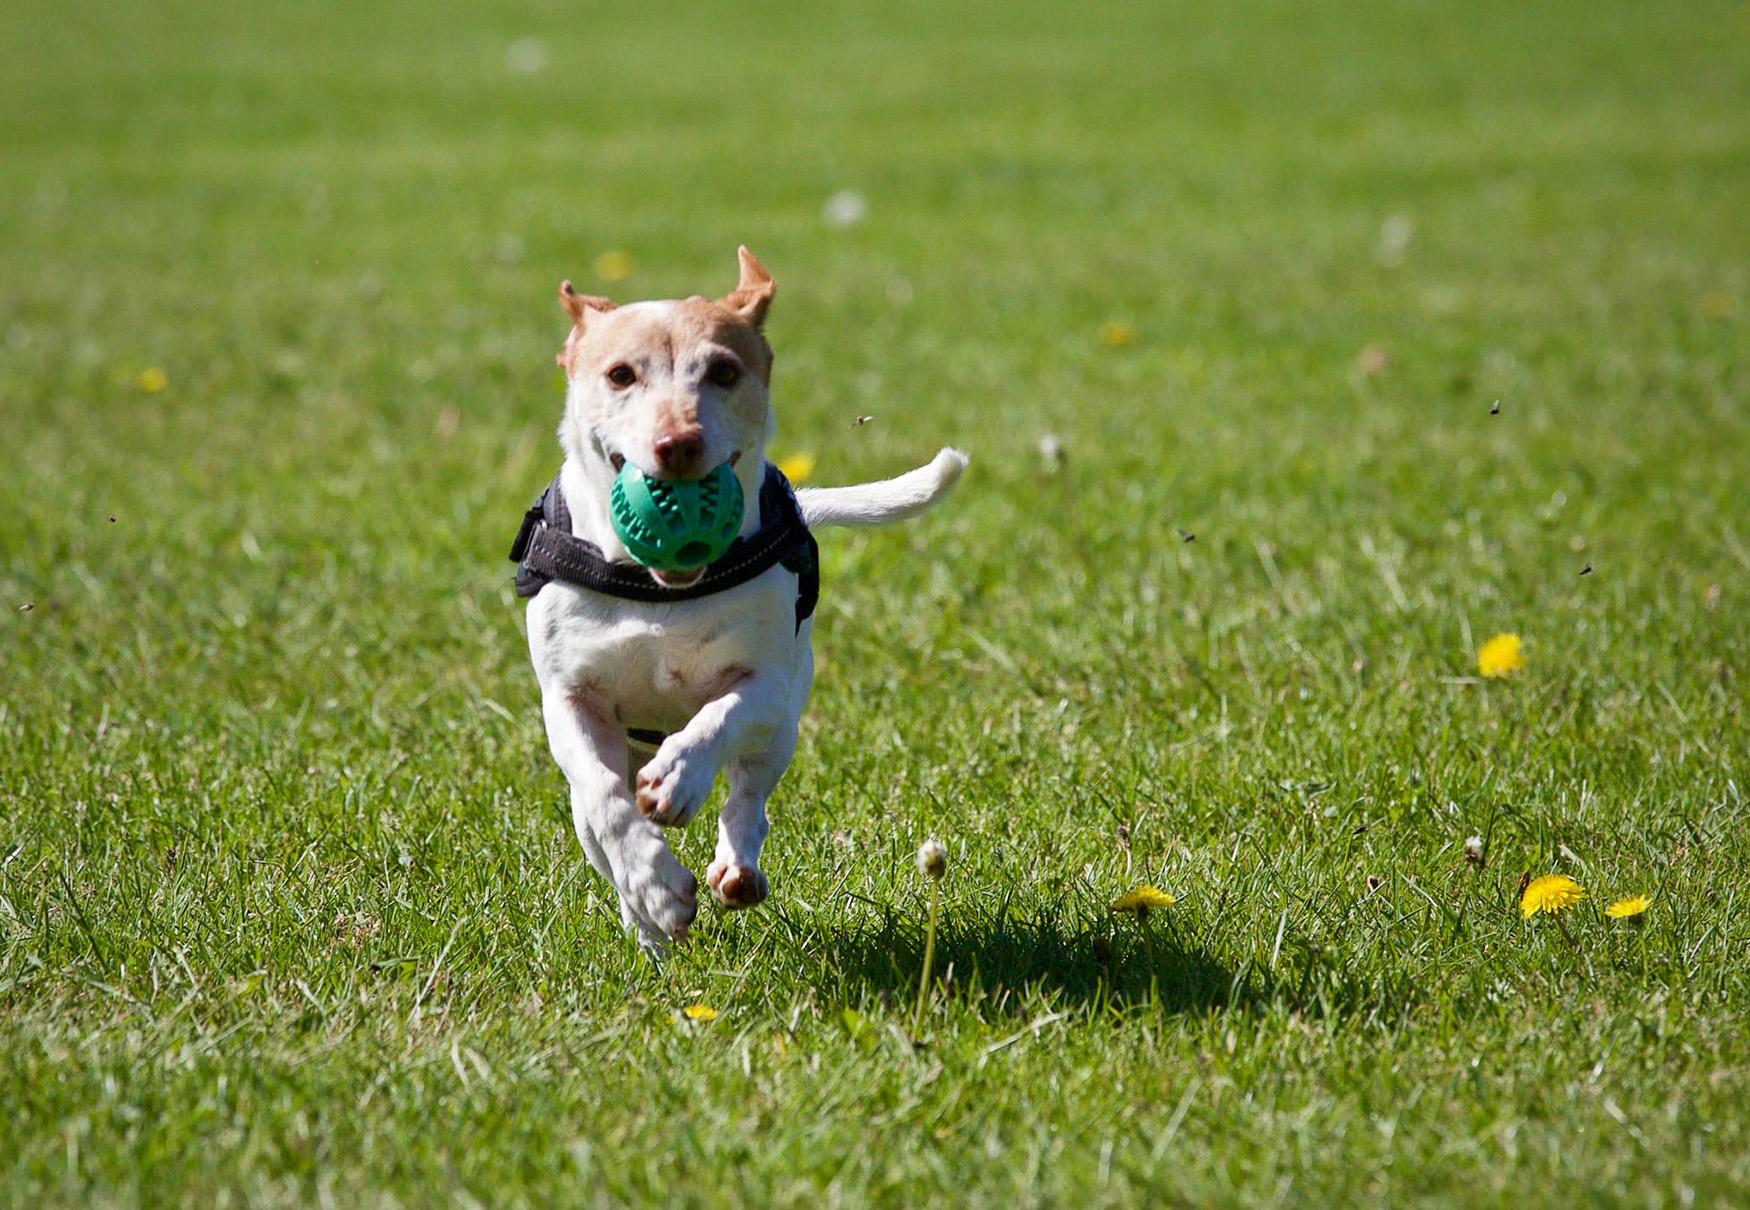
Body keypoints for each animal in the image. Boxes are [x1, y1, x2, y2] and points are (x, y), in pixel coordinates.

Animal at [511, 248, 966, 959]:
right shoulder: (570, 700)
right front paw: (656, 887)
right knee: (599, 826)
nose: (678, 444)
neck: (661, 591)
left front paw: (678, 777)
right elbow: (608, 802)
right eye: (620, 374)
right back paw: (648, 930)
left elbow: (718, 720)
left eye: (723, 371)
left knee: (749, 792)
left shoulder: (767, 683)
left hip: (784, 726)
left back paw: (736, 867)